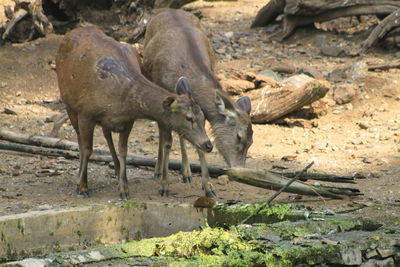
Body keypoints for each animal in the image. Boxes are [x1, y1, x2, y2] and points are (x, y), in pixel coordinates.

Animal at [56, 26, 214, 200]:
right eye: (188, 118)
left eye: (203, 117)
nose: (208, 145)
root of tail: (72, 32)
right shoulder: (86, 113)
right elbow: (87, 149)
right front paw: (83, 187)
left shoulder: (127, 121)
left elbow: (124, 151)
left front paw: (124, 188)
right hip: (68, 102)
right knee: (79, 138)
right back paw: (81, 176)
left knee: (106, 133)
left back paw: (117, 169)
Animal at [142, 9, 252, 198]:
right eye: (239, 136)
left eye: (251, 142)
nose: (240, 169)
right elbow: (167, 142)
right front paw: (164, 186)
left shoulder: (199, 113)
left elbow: (201, 144)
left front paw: (208, 188)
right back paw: (157, 171)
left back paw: (186, 173)